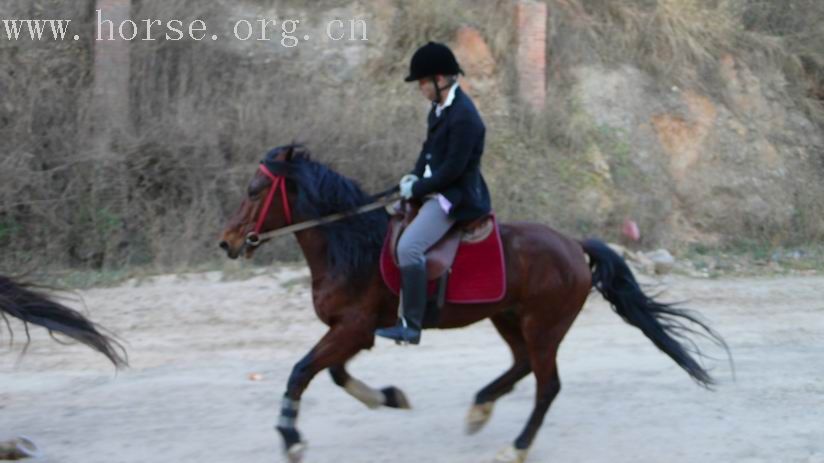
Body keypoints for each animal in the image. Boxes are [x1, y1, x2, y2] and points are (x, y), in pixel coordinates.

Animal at [219, 145, 728, 463]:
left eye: (254, 190)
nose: (227, 242)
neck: (350, 244)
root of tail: (572, 243)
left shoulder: (353, 328)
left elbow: (301, 372)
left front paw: (291, 440)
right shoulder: (354, 333)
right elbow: (335, 374)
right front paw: (389, 397)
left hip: (544, 325)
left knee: (547, 385)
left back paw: (516, 446)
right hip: (508, 317)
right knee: (521, 365)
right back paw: (480, 408)